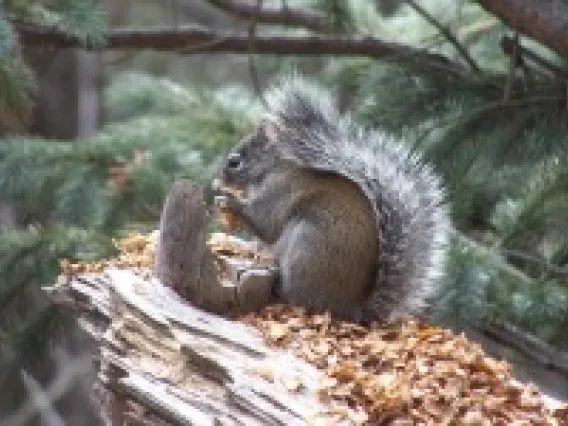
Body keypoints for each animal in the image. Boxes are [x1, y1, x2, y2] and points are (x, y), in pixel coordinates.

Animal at [220, 75, 450, 322]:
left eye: (235, 162)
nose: (220, 179)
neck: (274, 169)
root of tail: (350, 308)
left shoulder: (282, 191)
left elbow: (266, 222)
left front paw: (229, 201)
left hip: (307, 246)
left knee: (297, 297)